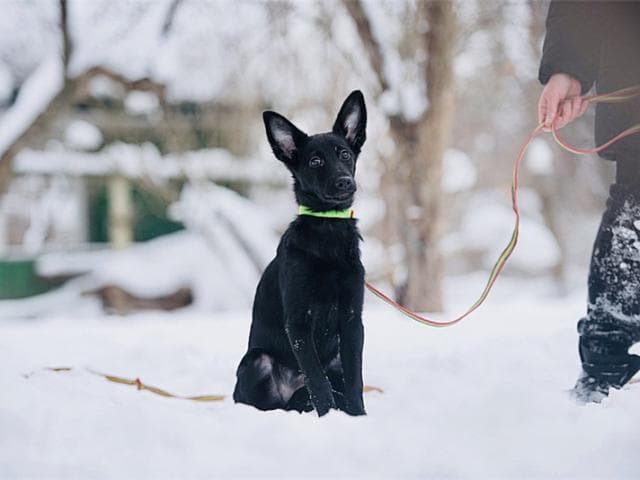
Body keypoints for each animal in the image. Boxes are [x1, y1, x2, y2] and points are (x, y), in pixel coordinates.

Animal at [232, 91, 368, 416]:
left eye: (345, 155)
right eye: (315, 160)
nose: (345, 182)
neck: (328, 231)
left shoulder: (352, 320)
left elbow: (355, 378)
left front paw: (358, 416)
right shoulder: (299, 322)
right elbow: (318, 382)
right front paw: (328, 417)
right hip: (256, 361)